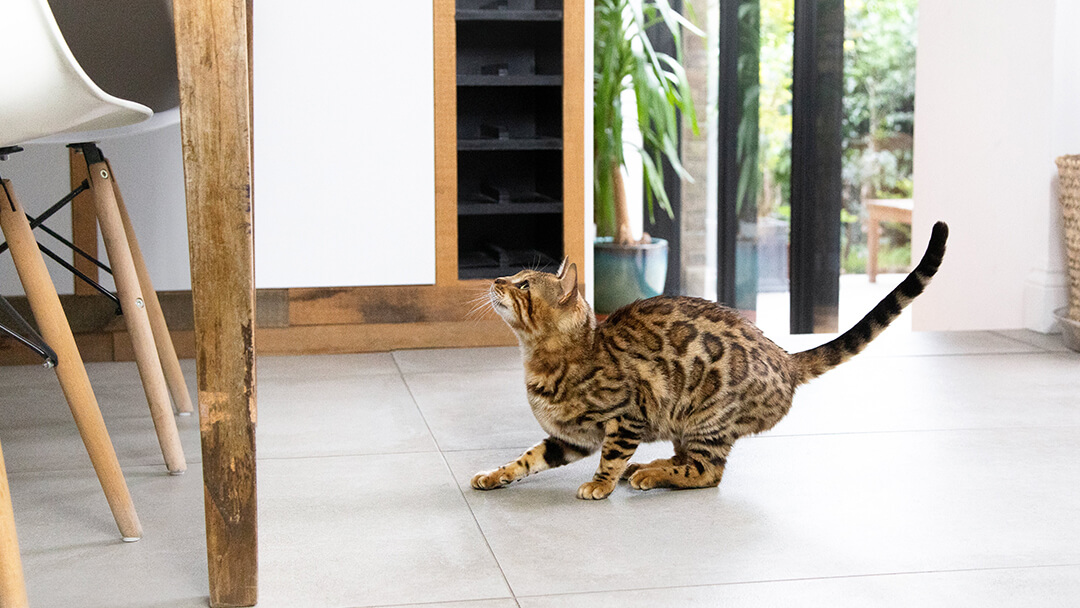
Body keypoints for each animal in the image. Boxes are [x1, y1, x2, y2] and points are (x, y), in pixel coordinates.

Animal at [468, 221, 950, 496]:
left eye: (524, 285)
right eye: (515, 276)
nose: (495, 279)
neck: (541, 363)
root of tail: (785, 357)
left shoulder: (627, 418)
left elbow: (609, 457)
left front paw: (599, 485)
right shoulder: (569, 437)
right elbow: (526, 459)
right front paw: (494, 475)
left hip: (707, 419)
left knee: (706, 473)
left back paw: (649, 474)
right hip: (687, 423)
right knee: (690, 462)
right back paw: (652, 466)